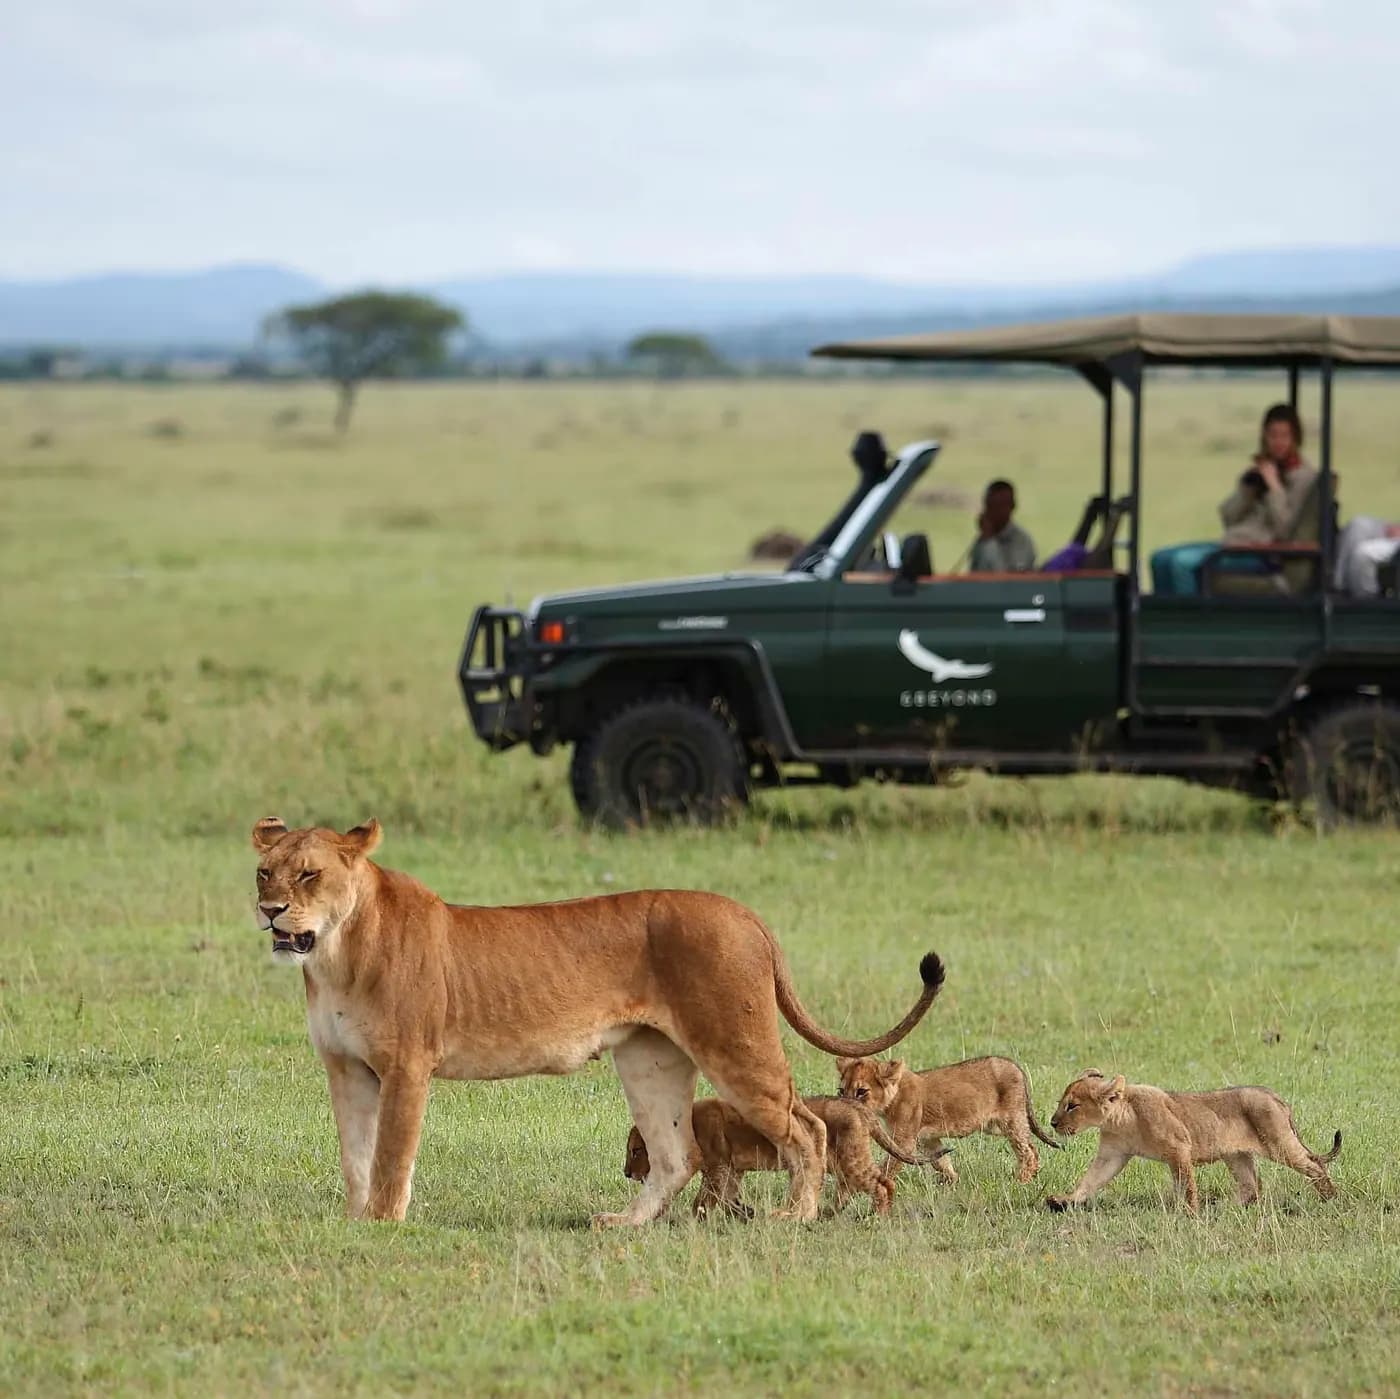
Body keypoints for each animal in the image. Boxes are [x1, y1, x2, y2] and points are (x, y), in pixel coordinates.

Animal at [624, 1096, 951, 1218]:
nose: (626, 1173)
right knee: (849, 1187)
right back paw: (830, 1213)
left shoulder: (718, 1167)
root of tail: (858, 1107)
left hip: (852, 1157)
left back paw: (877, 1216)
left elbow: (704, 1199)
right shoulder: (732, 1170)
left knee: (883, 1183)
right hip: (838, 1161)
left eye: (637, 1151)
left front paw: (695, 1219)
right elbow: (728, 1197)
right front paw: (745, 1212)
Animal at [836, 1055, 1058, 1185]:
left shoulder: (904, 1140)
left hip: (1011, 1120)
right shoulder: (926, 1139)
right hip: (996, 1125)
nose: (844, 1107)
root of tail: (1014, 1065)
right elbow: (940, 1161)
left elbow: (889, 1165)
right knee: (1031, 1146)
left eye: (861, 1091)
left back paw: (1021, 1181)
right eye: (841, 1090)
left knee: (1028, 1151)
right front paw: (953, 1181)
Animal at [1046, 1070, 1342, 1214]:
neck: (1121, 1120)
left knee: (1314, 1165)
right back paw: (1223, 1208)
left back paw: (1330, 1199)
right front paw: (1064, 1201)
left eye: (1072, 1105)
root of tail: (1276, 1097)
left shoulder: (1179, 1148)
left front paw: (1190, 1213)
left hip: (1278, 1142)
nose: (1052, 1122)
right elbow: (1091, 1180)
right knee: (1251, 1187)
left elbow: (1186, 1184)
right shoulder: (1112, 1154)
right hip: (1236, 1155)